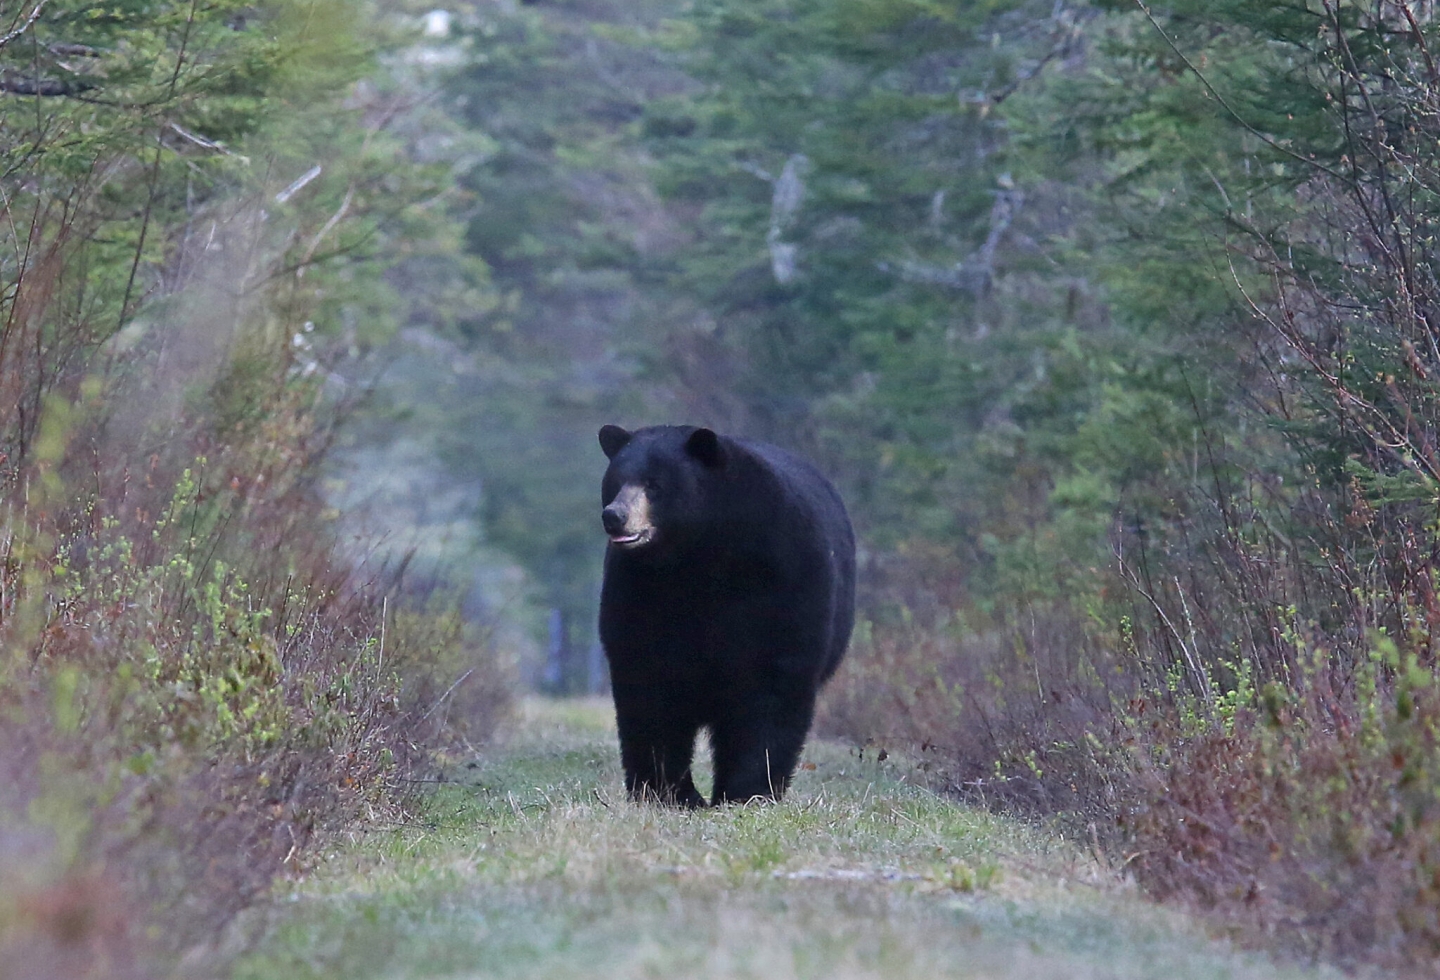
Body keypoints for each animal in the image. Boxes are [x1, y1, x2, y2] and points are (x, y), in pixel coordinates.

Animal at [597, 423, 856, 806]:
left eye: (654, 484)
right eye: (614, 483)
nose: (614, 516)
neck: (697, 554)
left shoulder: (779, 575)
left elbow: (770, 686)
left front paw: (747, 791)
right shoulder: (640, 590)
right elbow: (650, 687)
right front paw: (667, 792)